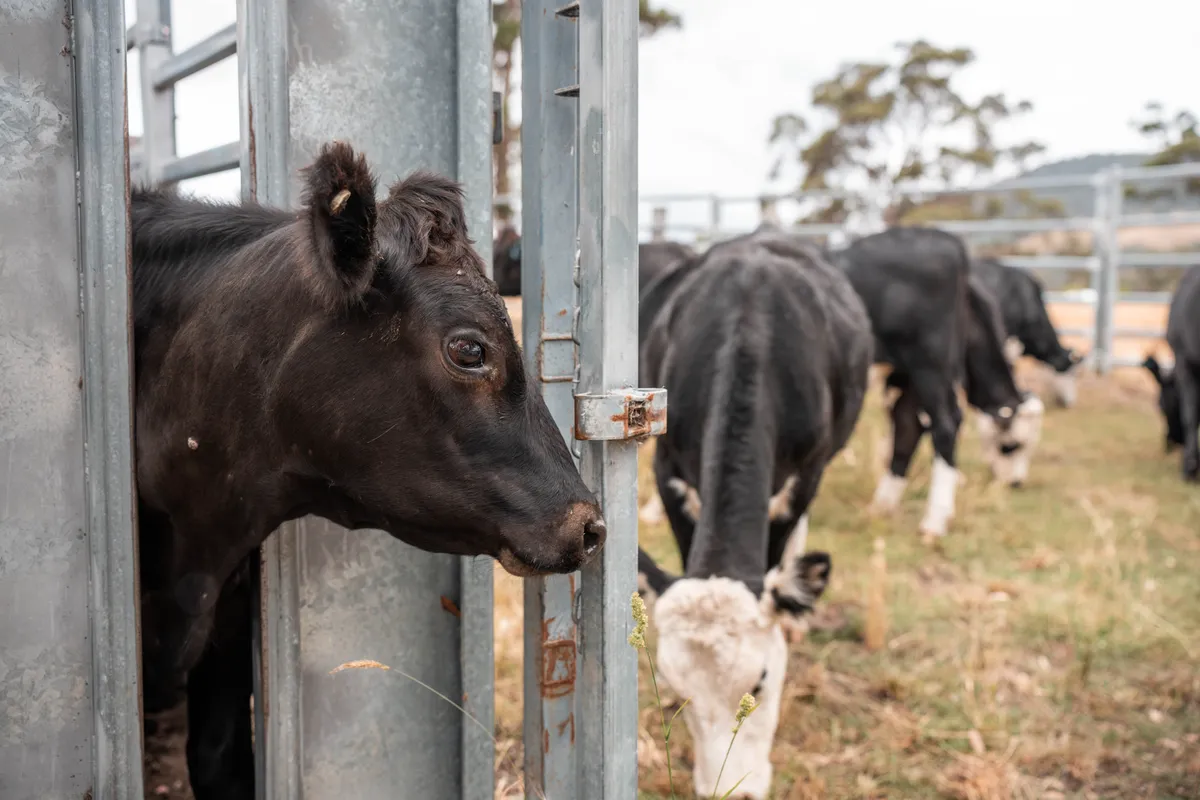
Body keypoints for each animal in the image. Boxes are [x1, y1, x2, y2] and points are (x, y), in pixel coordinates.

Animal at [828, 227, 1043, 540]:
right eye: (1011, 446)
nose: (1015, 483)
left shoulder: (904, 377)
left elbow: (906, 427)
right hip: (928, 366)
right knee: (942, 423)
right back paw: (931, 518)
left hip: (927, 364)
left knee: (924, 425)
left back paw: (895, 509)